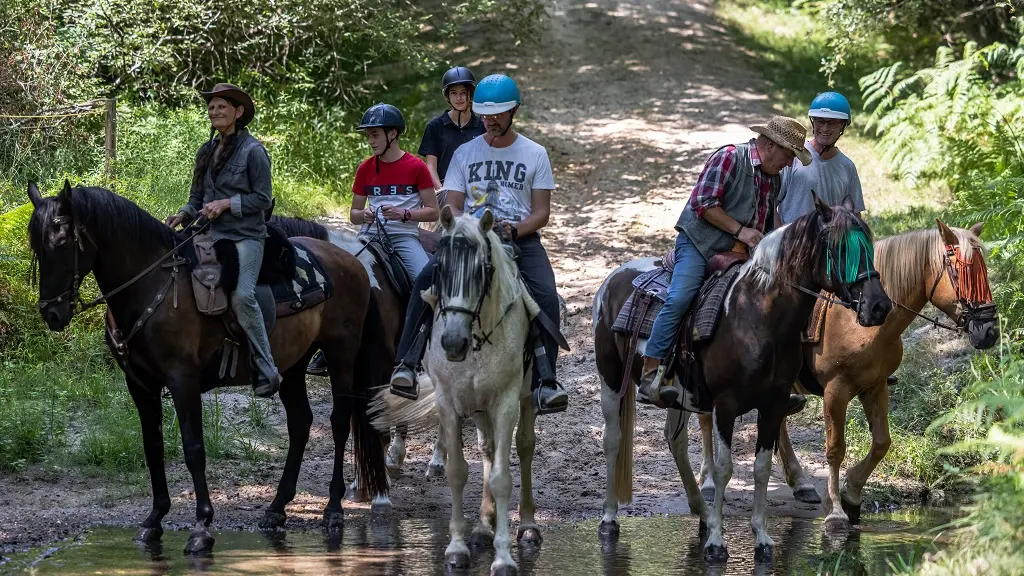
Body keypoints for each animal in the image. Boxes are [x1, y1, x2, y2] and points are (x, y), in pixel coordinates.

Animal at [28, 181, 389, 553]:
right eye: (36, 246)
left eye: (61, 242)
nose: (52, 314)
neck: (150, 288)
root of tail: (353, 262)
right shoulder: (140, 385)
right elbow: (153, 447)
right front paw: (154, 519)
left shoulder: (182, 380)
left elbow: (193, 450)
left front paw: (202, 526)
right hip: (292, 365)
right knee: (300, 423)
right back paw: (276, 509)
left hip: (341, 355)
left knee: (339, 423)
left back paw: (333, 510)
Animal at [372, 207, 540, 573]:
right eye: (439, 268)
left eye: (482, 271)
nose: (452, 342)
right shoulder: (449, 402)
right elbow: (458, 472)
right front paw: (458, 547)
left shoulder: (506, 402)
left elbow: (503, 477)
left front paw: (504, 558)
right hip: (478, 409)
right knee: (488, 449)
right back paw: (483, 527)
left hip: (524, 400)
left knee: (524, 448)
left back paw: (529, 526)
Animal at [598, 195, 892, 561]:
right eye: (838, 247)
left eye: (868, 243)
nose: (879, 305)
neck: (758, 316)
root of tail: (614, 278)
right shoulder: (725, 404)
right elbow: (724, 468)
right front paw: (716, 543)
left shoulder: (774, 404)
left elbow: (761, 467)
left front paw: (761, 538)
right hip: (610, 377)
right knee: (613, 440)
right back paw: (610, 518)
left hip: (677, 395)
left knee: (675, 441)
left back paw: (701, 512)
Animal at [696, 218, 999, 528]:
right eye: (962, 273)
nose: (989, 331)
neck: (863, 323)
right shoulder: (836, 390)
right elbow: (835, 448)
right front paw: (836, 511)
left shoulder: (876, 386)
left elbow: (881, 443)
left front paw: (851, 494)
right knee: (706, 418)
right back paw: (707, 482)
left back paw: (799, 482)